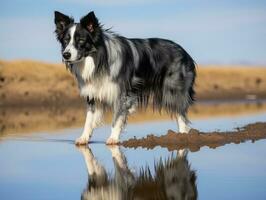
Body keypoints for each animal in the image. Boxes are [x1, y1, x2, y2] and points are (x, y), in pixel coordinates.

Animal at [53, 10, 195, 145]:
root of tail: (185, 53)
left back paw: (183, 137)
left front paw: (113, 139)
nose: (66, 54)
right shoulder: (93, 94)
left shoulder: (122, 94)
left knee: (181, 117)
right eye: (66, 40)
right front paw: (83, 138)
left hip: (173, 92)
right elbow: (89, 120)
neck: (99, 60)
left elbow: (117, 118)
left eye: (81, 40)